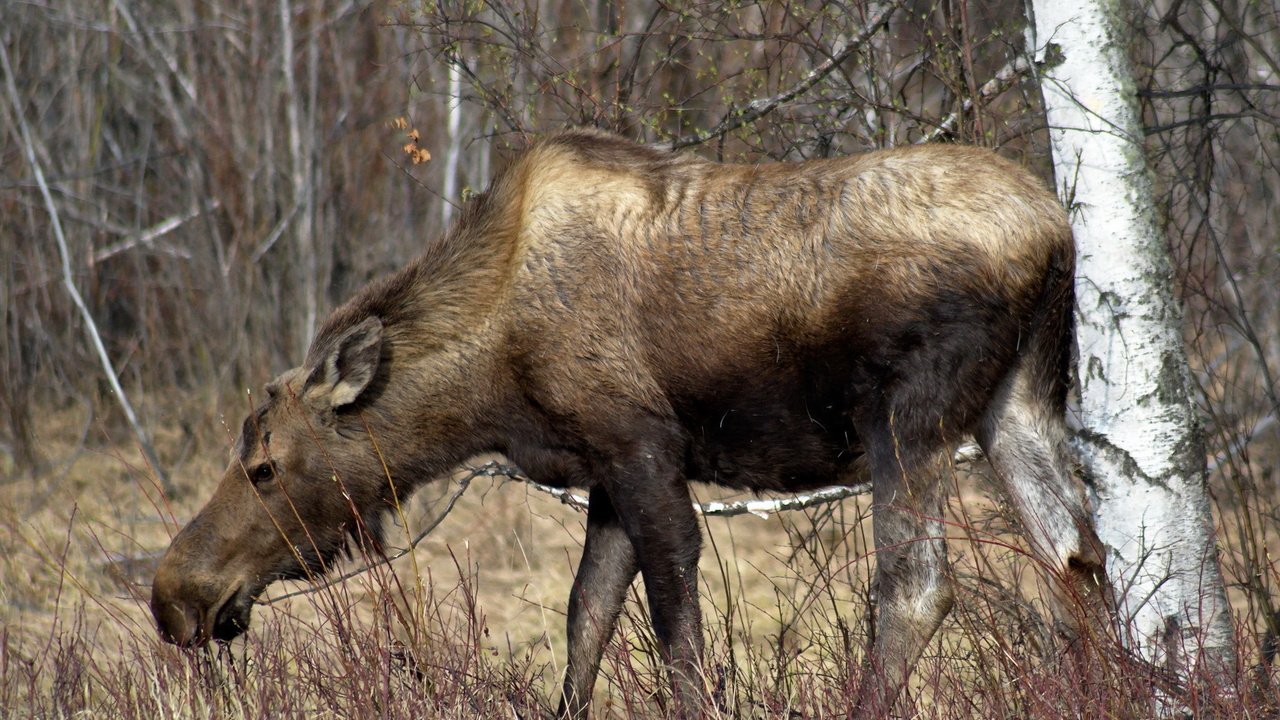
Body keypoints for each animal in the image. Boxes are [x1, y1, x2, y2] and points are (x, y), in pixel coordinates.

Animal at [147, 127, 1111, 712]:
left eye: (265, 466)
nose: (174, 596)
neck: (486, 384)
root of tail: (1056, 234)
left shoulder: (644, 449)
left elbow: (673, 632)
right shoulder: (604, 472)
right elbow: (586, 620)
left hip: (909, 417)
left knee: (917, 587)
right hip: (1017, 400)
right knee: (1078, 557)